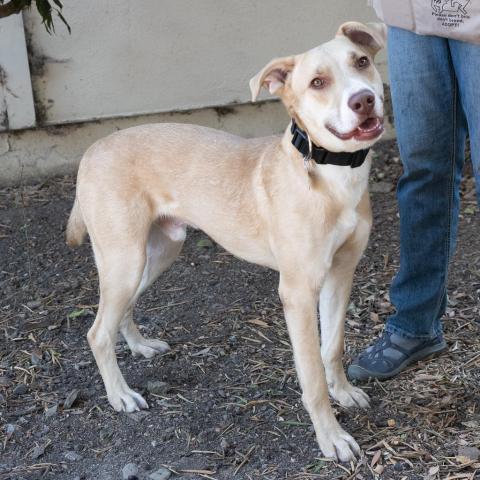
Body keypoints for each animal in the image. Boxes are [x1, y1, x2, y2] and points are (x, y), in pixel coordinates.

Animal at [65, 22, 386, 462]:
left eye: (362, 62)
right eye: (317, 82)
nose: (364, 99)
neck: (332, 176)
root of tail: (93, 149)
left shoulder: (341, 275)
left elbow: (332, 347)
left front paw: (344, 392)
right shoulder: (298, 292)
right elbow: (312, 377)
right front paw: (330, 436)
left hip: (156, 254)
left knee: (118, 313)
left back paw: (139, 345)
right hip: (124, 259)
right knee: (97, 332)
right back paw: (120, 395)